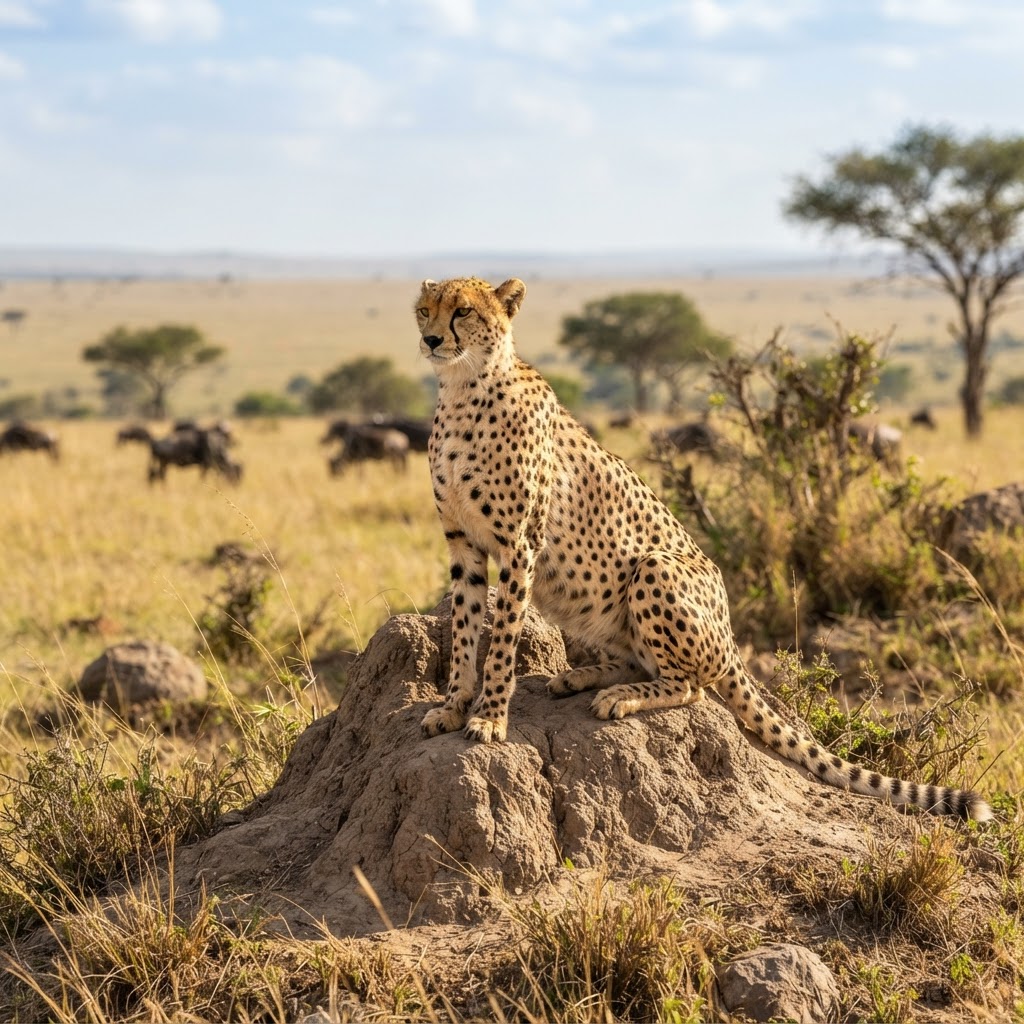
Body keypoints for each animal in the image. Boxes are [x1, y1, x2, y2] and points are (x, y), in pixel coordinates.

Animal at [414, 275, 992, 822]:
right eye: (425, 310)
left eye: (463, 311)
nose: (431, 339)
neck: (464, 388)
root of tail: (732, 639)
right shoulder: (463, 544)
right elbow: (465, 631)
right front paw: (454, 705)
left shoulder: (520, 545)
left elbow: (502, 640)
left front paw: (490, 716)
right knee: (643, 662)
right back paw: (583, 675)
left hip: (654, 567)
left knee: (689, 684)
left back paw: (619, 697)